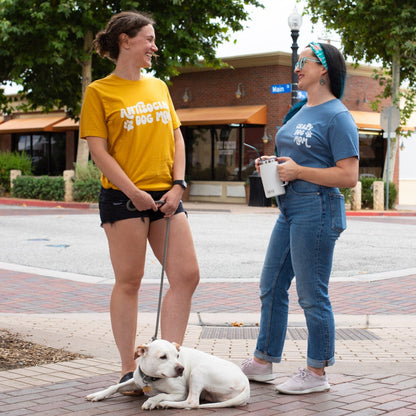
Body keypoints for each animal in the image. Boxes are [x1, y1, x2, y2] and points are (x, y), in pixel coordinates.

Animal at [83, 340, 249, 412]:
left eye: (177, 355)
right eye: (163, 357)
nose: (181, 369)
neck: (152, 379)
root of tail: (246, 383)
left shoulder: (180, 393)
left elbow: (159, 395)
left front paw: (153, 401)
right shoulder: (136, 381)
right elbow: (114, 386)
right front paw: (98, 394)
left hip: (198, 371)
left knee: (192, 402)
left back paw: (165, 404)